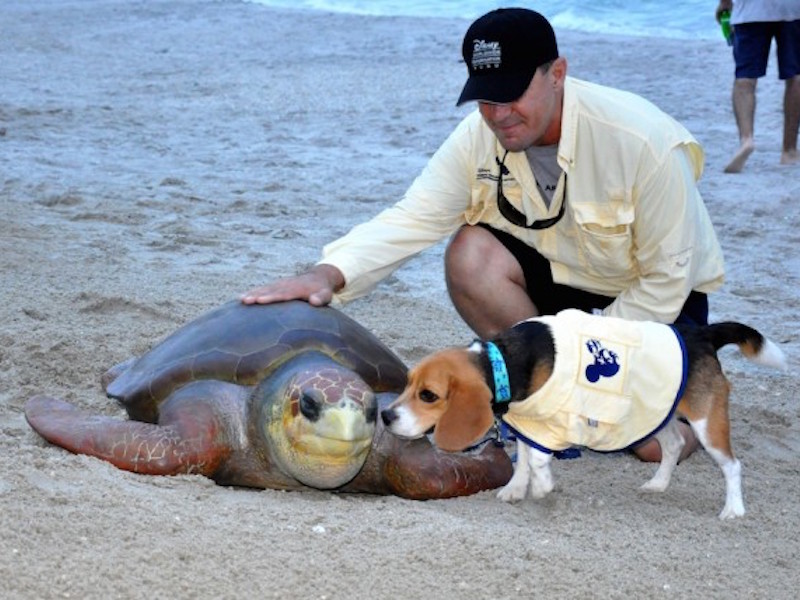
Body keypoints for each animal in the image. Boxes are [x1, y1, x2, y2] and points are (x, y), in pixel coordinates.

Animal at [382, 312, 788, 516]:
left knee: (732, 465)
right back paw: (658, 485)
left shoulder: (553, 423)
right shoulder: (528, 423)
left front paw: (543, 487)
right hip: (656, 414)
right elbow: (524, 459)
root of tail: (702, 334)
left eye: (429, 395)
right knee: (672, 447)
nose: (386, 416)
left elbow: (539, 459)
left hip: (706, 423)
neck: (504, 362)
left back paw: (733, 510)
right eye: (407, 384)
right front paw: (516, 489)